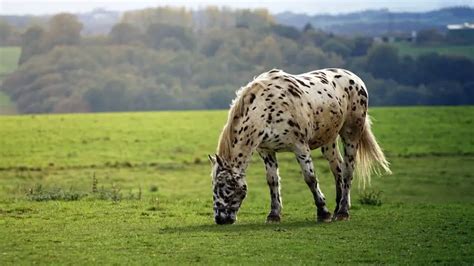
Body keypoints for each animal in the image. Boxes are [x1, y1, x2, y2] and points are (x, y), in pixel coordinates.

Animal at [209, 68, 390, 224]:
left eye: (225, 186)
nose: (220, 219)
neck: (266, 109)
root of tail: (356, 79)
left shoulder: (300, 147)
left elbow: (310, 178)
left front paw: (323, 212)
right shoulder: (266, 151)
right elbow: (272, 180)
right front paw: (274, 214)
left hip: (351, 134)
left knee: (348, 170)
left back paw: (343, 212)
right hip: (329, 140)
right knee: (337, 169)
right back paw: (337, 208)